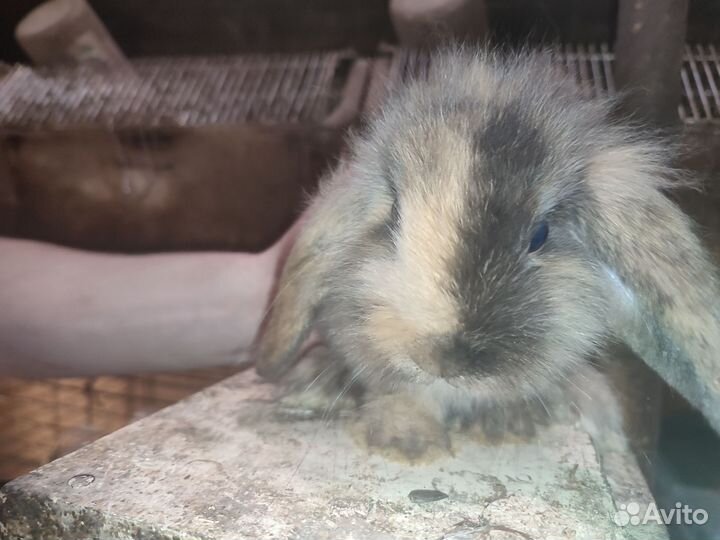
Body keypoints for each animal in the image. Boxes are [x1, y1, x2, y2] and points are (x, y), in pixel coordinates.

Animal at [254, 47, 720, 459]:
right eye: (394, 217)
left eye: (539, 235)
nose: (442, 360)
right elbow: (403, 392)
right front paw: (405, 442)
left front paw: (509, 425)